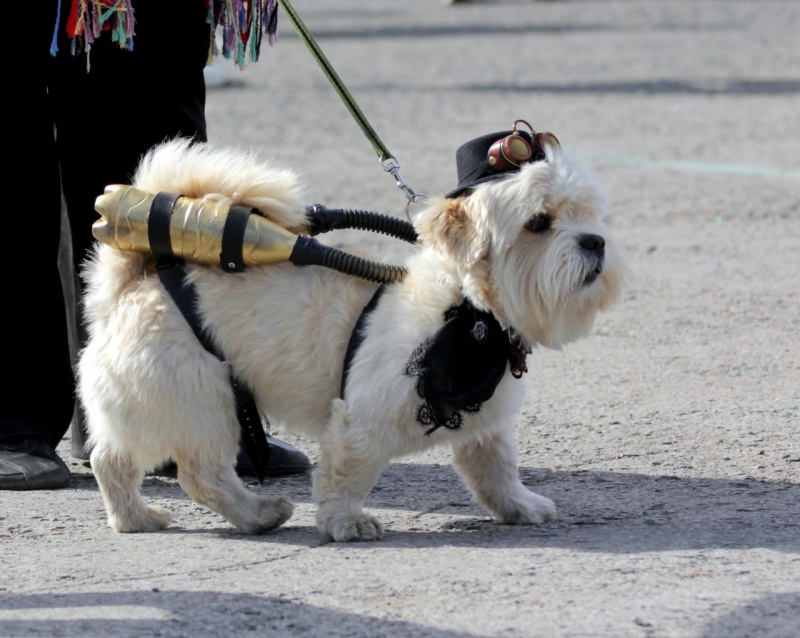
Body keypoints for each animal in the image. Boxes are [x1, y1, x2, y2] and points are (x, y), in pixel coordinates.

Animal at [77, 122, 628, 541]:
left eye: (588, 215)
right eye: (539, 223)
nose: (595, 241)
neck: (468, 313)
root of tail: (132, 280)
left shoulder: (485, 425)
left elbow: (496, 470)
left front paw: (520, 506)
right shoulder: (361, 421)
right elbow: (347, 475)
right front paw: (347, 523)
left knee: (111, 461)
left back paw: (134, 518)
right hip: (201, 404)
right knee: (200, 473)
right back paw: (258, 514)